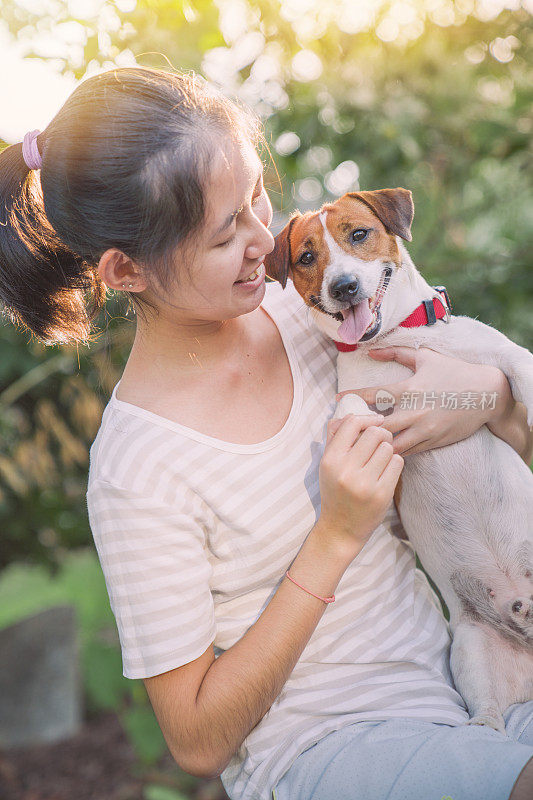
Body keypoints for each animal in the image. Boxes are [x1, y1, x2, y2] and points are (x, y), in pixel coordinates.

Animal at [264, 188, 532, 732]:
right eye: (306, 257)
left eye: (358, 234)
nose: (344, 287)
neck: (395, 340)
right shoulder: (354, 396)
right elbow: (350, 410)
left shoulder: (503, 362)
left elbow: (523, 374)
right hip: (471, 650)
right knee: (488, 712)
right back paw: (483, 727)